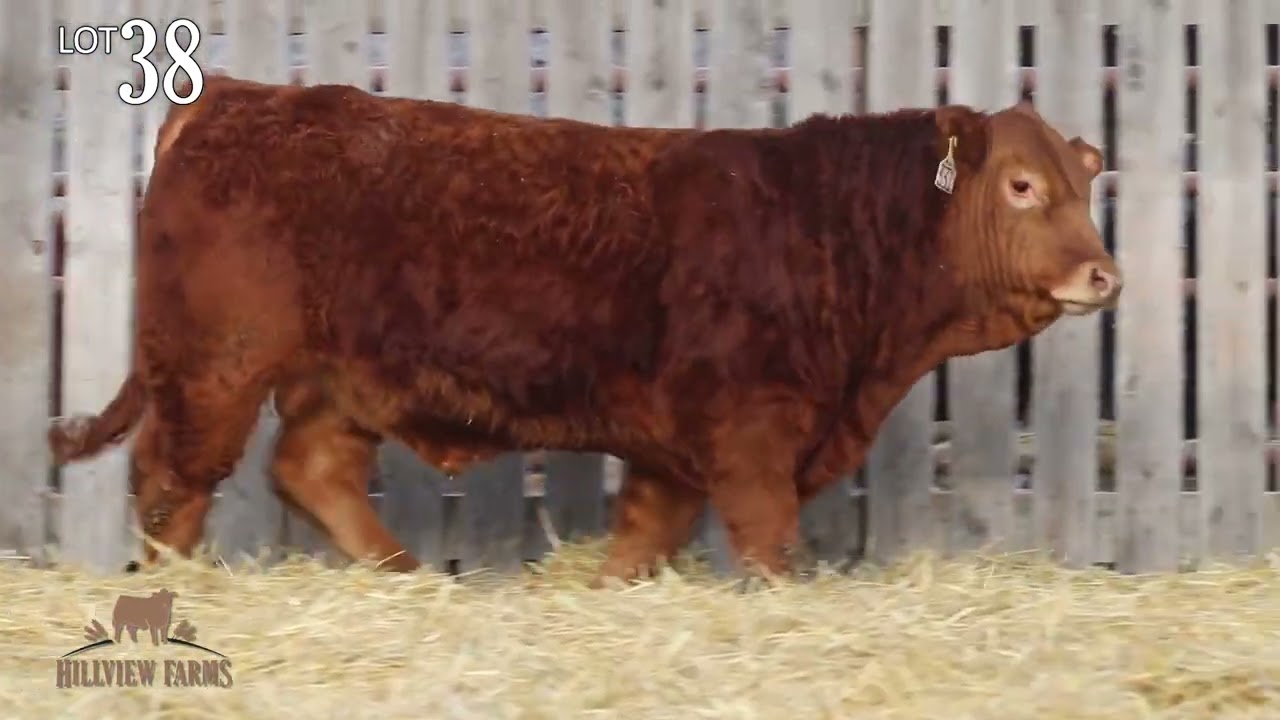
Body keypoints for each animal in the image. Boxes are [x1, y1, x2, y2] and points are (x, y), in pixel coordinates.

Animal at [47, 73, 1120, 586]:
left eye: (1084, 182)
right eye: (1023, 187)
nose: (1103, 274)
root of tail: (234, 97)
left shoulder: (675, 453)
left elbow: (638, 544)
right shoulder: (748, 434)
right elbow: (769, 546)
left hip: (341, 379)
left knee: (309, 470)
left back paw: (411, 584)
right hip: (214, 363)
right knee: (172, 482)